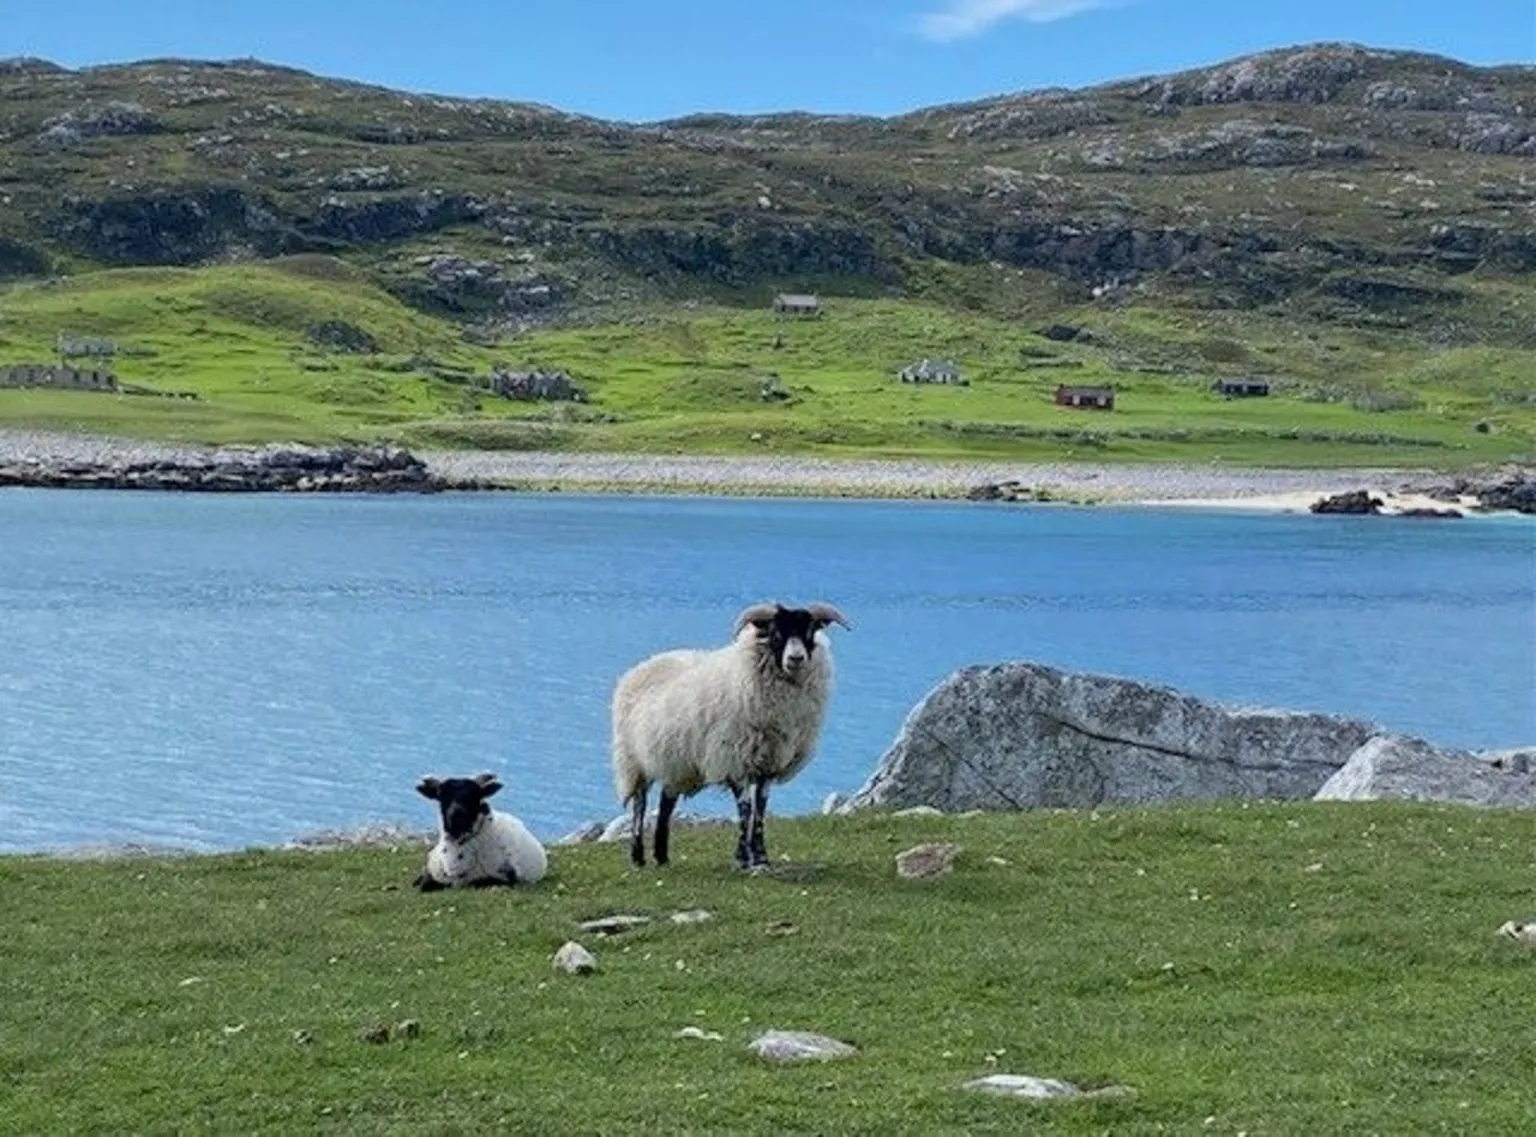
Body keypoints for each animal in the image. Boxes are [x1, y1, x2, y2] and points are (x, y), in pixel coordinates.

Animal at [611, 601, 850, 871]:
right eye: (776, 633)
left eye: (810, 630)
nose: (796, 658)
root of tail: (641, 666)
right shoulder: (733, 757)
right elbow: (744, 809)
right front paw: (744, 858)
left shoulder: (768, 762)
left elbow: (760, 810)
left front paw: (761, 857)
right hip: (632, 760)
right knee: (639, 804)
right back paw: (637, 857)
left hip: (675, 762)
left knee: (666, 802)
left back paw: (662, 856)